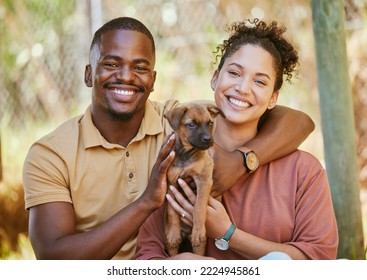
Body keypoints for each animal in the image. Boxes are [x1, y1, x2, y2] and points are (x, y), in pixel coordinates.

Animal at [164, 103, 224, 256]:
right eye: (191, 124)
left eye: (210, 123)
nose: (208, 140)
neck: (186, 154)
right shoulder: (171, 183)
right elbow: (172, 211)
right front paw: (173, 233)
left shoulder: (203, 180)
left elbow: (199, 206)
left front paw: (198, 231)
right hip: (171, 248)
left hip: (199, 247)